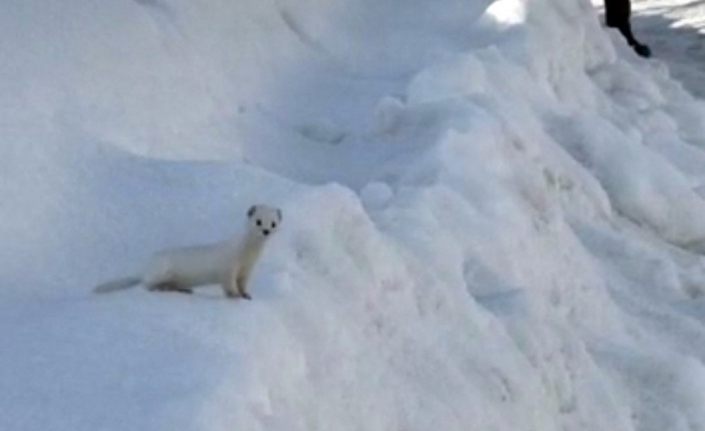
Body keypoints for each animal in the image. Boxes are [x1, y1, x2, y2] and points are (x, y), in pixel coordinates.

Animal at [93, 206, 280, 300]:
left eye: (273, 223)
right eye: (258, 221)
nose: (266, 231)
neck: (247, 256)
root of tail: (145, 269)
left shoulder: (246, 271)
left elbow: (243, 284)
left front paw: (246, 294)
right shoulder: (228, 268)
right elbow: (228, 284)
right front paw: (234, 295)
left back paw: (183, 289)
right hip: (161, 270)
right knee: (147, 285)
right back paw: (164, 288)